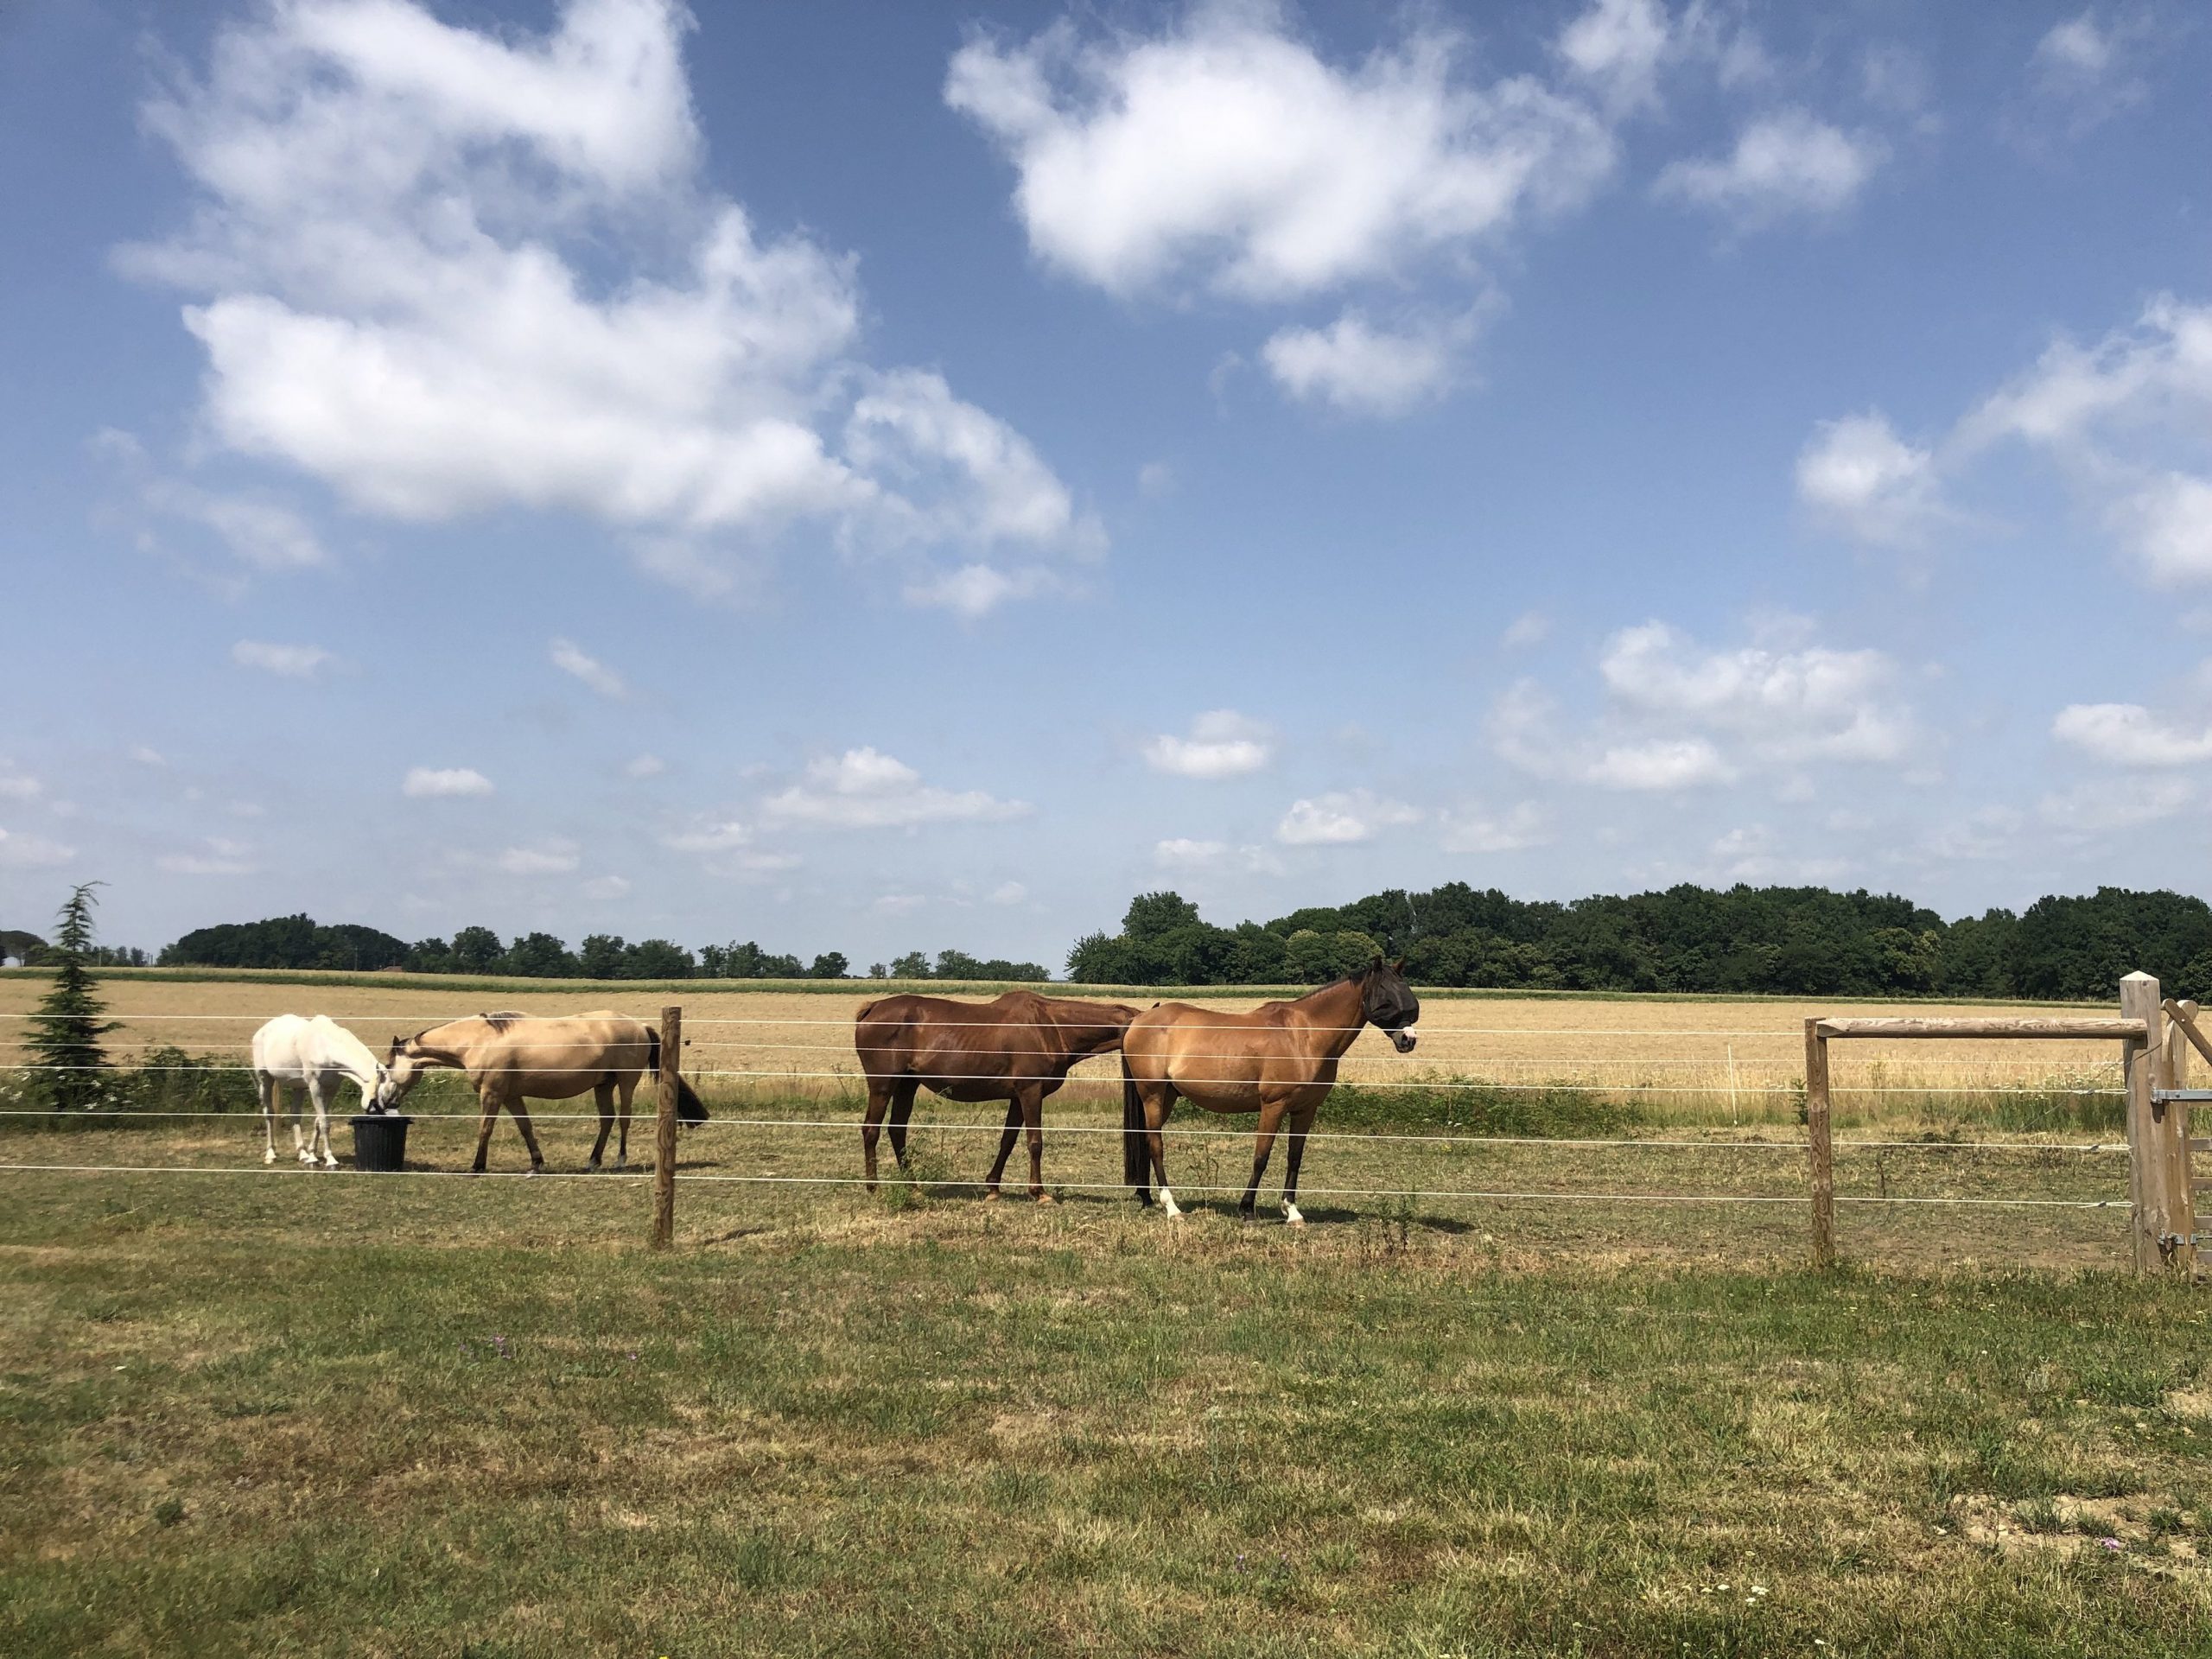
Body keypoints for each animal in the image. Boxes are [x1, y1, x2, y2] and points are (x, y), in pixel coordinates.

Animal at [250, 1014, 389, 1168]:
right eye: (382, 1095)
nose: (381, 1114)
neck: (325, 1046)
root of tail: (262, 1031)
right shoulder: (315, 1087)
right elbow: (324, 1122)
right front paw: (331, 1160)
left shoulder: (331, 1088)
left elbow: (318, 1121)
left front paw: (312, 1157)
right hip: (265, 1080)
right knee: (269, 1112)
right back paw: (270, 1154)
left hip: (298, 1087)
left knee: (295, 1114)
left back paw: (303, 1154)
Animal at [373, 1011, 707, 1173]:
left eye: (387, 1065)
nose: (382, 1102)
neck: (479, 1040)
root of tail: (640, 1025)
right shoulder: (511, 1096)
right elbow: (526, 1127)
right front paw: (536, 1162)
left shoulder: (492, 1094)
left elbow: (485, 1129)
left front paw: (477, 1165)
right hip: (604, 1085)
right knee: (607, 1120)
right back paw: (593, 1161)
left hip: (626, 1082)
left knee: (624, 1119)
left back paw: (619, 1161)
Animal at [854, 989, 1140, 1200]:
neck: (1050, 1027)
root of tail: (872, 1008)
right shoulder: (1031, 1092)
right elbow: (1035, 1142)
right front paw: (1040, 1193)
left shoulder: (1017, 1097)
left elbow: (1008, 1141)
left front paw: (993, 1187)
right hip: (883, 1085)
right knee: (871, 1130)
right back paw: (874, 1187)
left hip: (907, 1085)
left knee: (897, 1130)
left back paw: (913, 1187)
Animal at [1120, 959, 1420, 1224]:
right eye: (1385, 998)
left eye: (1408, 996)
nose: (1409, 1040)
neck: (1303, 1036)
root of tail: (1140, 1019)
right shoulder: (1273, 1105)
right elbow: (1261, 1157)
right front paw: (1247, 1210)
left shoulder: (1305, 1110)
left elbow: (1294, 1158)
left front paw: (1292, 1212)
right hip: (1153, 1094)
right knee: (1155, 1144)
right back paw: (1172, 1208)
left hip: (1167, 1096)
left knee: (1145, 1141)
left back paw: (1147, 1198)